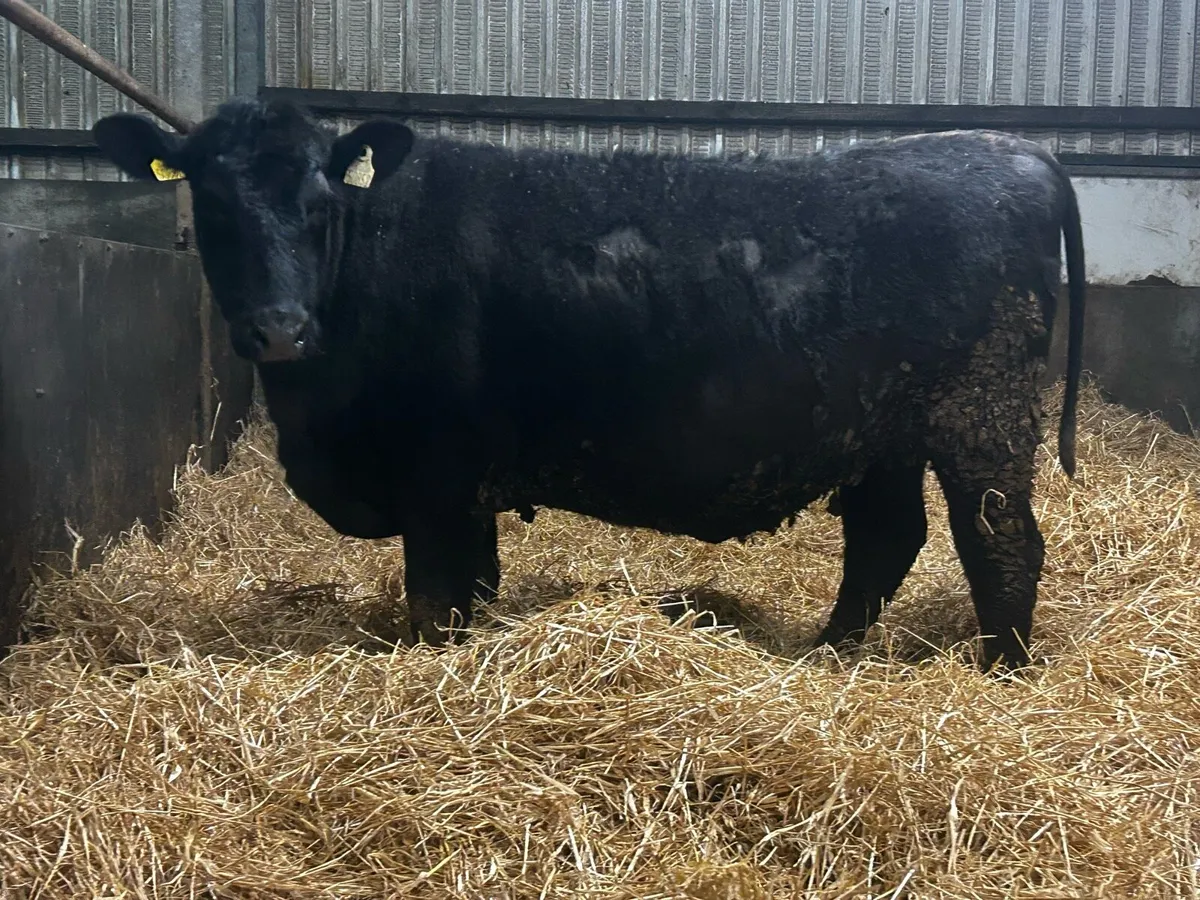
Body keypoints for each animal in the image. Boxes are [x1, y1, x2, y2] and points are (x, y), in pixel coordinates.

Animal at [93, 98, 1084, 672]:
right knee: (886, 539)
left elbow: (435, 598)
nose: (279, 329)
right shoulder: (465, 489)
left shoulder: (435, 477)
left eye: (319, 204)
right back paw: (825, 655)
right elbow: (475, 584)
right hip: (882, 432)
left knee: (1001, 544)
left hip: (982, 419)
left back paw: (1000, 673)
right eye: (214, 208)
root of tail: (1012, 151)